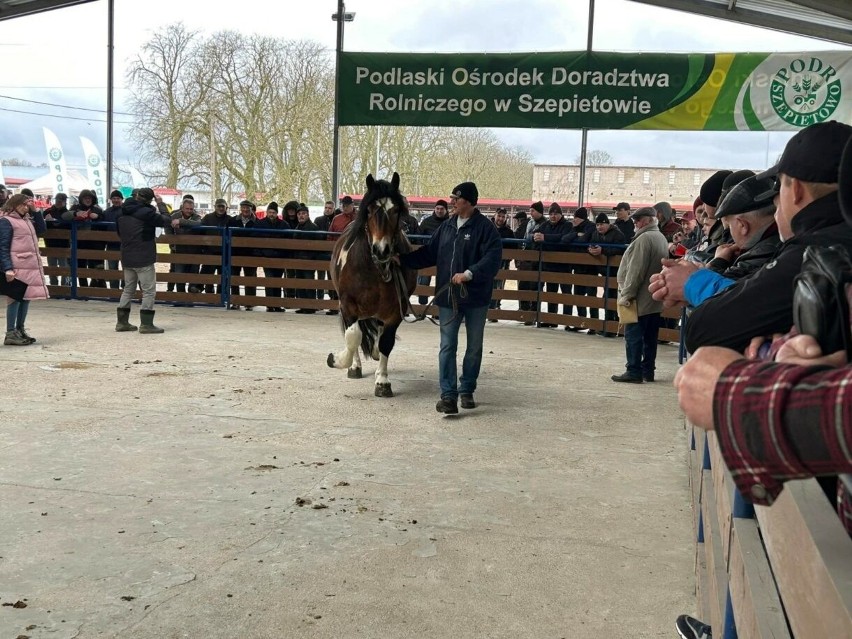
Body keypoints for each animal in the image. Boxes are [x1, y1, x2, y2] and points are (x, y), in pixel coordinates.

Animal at [328, 172, 418, 398]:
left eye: (395, 210)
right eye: (369, 210)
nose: (381, 249)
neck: (375, 268)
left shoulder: (396, 311)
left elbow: (386, 342)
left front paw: (383, 382)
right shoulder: (348, 305)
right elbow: (353, 337)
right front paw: (340, 361)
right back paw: (355, 366)